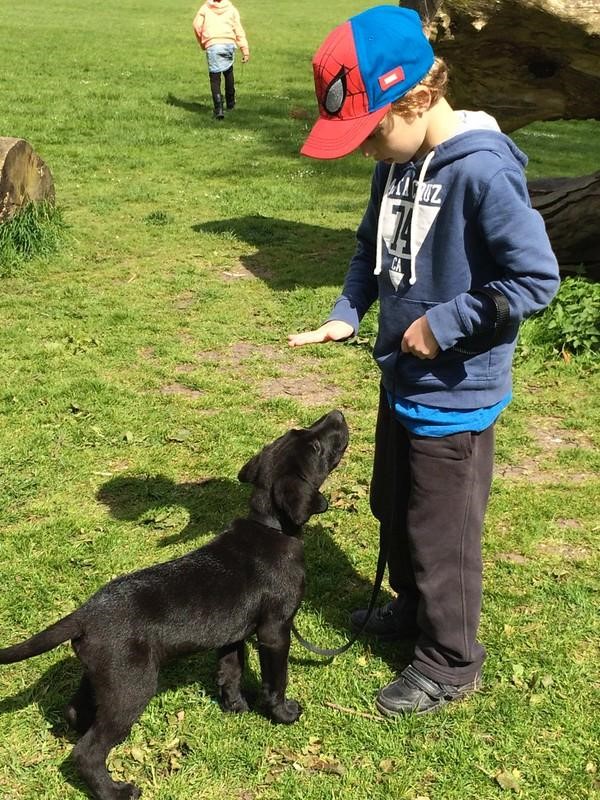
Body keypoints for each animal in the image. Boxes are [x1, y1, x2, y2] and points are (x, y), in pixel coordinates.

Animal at [0, 412, 350, 800]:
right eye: (315, 447)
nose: (337, 414)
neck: (272, 528)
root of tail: (84, 615)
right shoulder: (275, 630)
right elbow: (276, 679)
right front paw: (283, 713)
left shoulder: (232, 634)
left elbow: (230, 671)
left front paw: (235, 707)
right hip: (131, 688)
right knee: (87, 752)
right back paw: (116, 790)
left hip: (104, 677)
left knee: (77, 712)